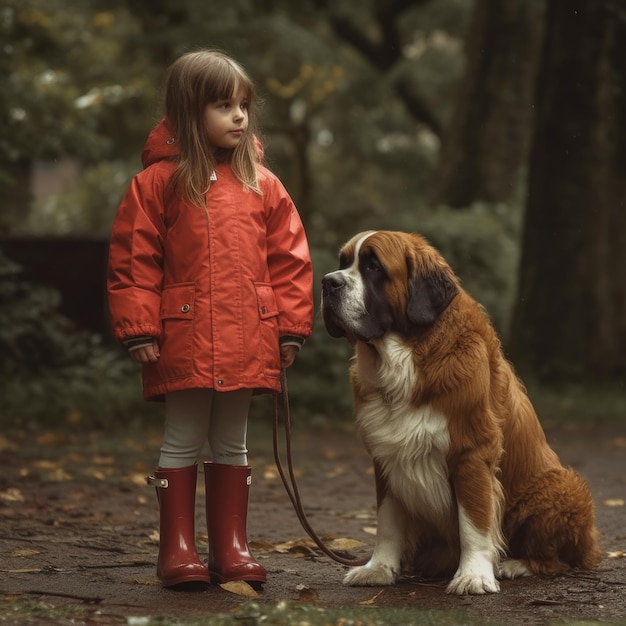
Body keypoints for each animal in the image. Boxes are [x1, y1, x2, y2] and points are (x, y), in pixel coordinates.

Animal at [322, 230, 600, 596]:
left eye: (373, 267)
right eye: (343, 262)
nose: (328, 282)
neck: (407, 360)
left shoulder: (470, 454)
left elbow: (474, 522)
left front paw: (474, 575)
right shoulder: (385, 457)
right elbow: (388, 522)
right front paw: (379, 568)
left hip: (563, 486)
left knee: (557, 559)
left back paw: (515, 564)